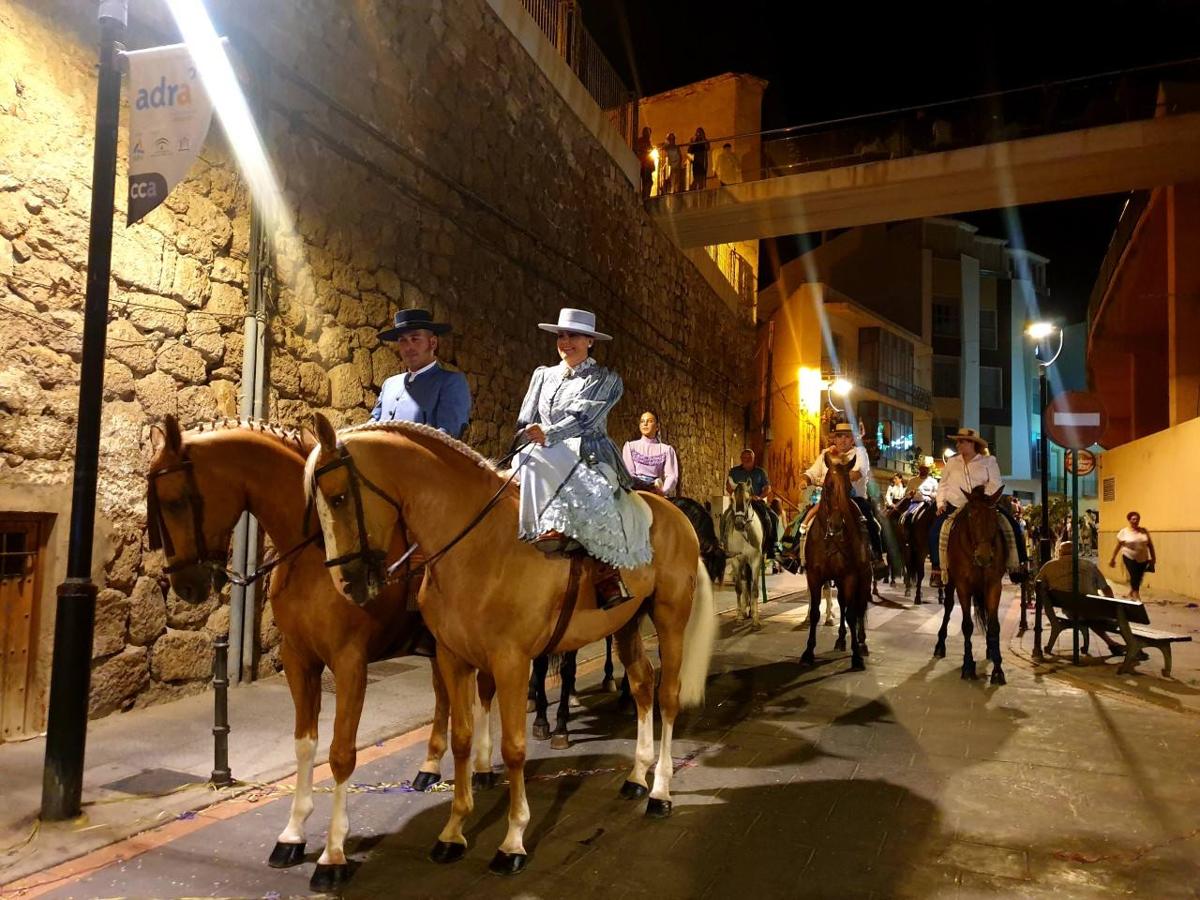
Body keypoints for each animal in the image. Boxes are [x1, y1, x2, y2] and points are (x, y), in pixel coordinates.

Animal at [146, 417, 492, 897]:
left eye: (176, 501)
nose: (185, 586)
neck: (311, 552)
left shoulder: (349, 663)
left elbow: (341, 753)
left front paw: (332, 854)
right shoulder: (299, 660)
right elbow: (305, 745)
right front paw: (292, 834)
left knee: (483, 694)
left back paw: (482, 765)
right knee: (444, 697)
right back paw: (428, 766)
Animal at [304, 420, 715, 878]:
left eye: (338, 497)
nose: (348, 585)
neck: (480, 546)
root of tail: (676, 514)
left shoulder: (512, 663)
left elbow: (514, 748)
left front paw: (513, 840)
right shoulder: (453, 659)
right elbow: (462, 739)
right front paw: (453, 831)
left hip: (670, 618)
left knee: (667, 697)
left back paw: (660, 790)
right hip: (626, 623)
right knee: (642, 686)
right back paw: (636, 776)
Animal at [715, 487, 763, 628]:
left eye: (748, 499)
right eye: (732, 499)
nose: (739, 524)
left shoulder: (756, 560)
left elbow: (754, 589)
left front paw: (755, 620)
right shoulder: (736, 560)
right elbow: (738, 588)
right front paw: (739, 616)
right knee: (744, 583)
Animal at [801, 451, 868, 672]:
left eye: (848, 488)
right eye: (829, 486)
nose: (837, 525)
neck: (830, 539)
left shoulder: (850, 576)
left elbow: (852, 613)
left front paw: (856, 657)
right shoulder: (814, 576)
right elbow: (815, 612)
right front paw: (808, 652)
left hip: (863, 577)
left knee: (859, 607)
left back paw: (862, 643)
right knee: (842, 603)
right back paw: (840, 639)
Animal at [931, 489, 1008, 686]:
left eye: (994, 516)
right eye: (971, 516)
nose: (984, 556)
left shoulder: (994, 585)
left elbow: (994, 626)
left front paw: (997, 669)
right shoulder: (963, 586)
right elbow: (966, 625)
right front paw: (967, 665)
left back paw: (990, 649)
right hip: (950, 581)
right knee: (948, 606)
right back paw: (940, 645)